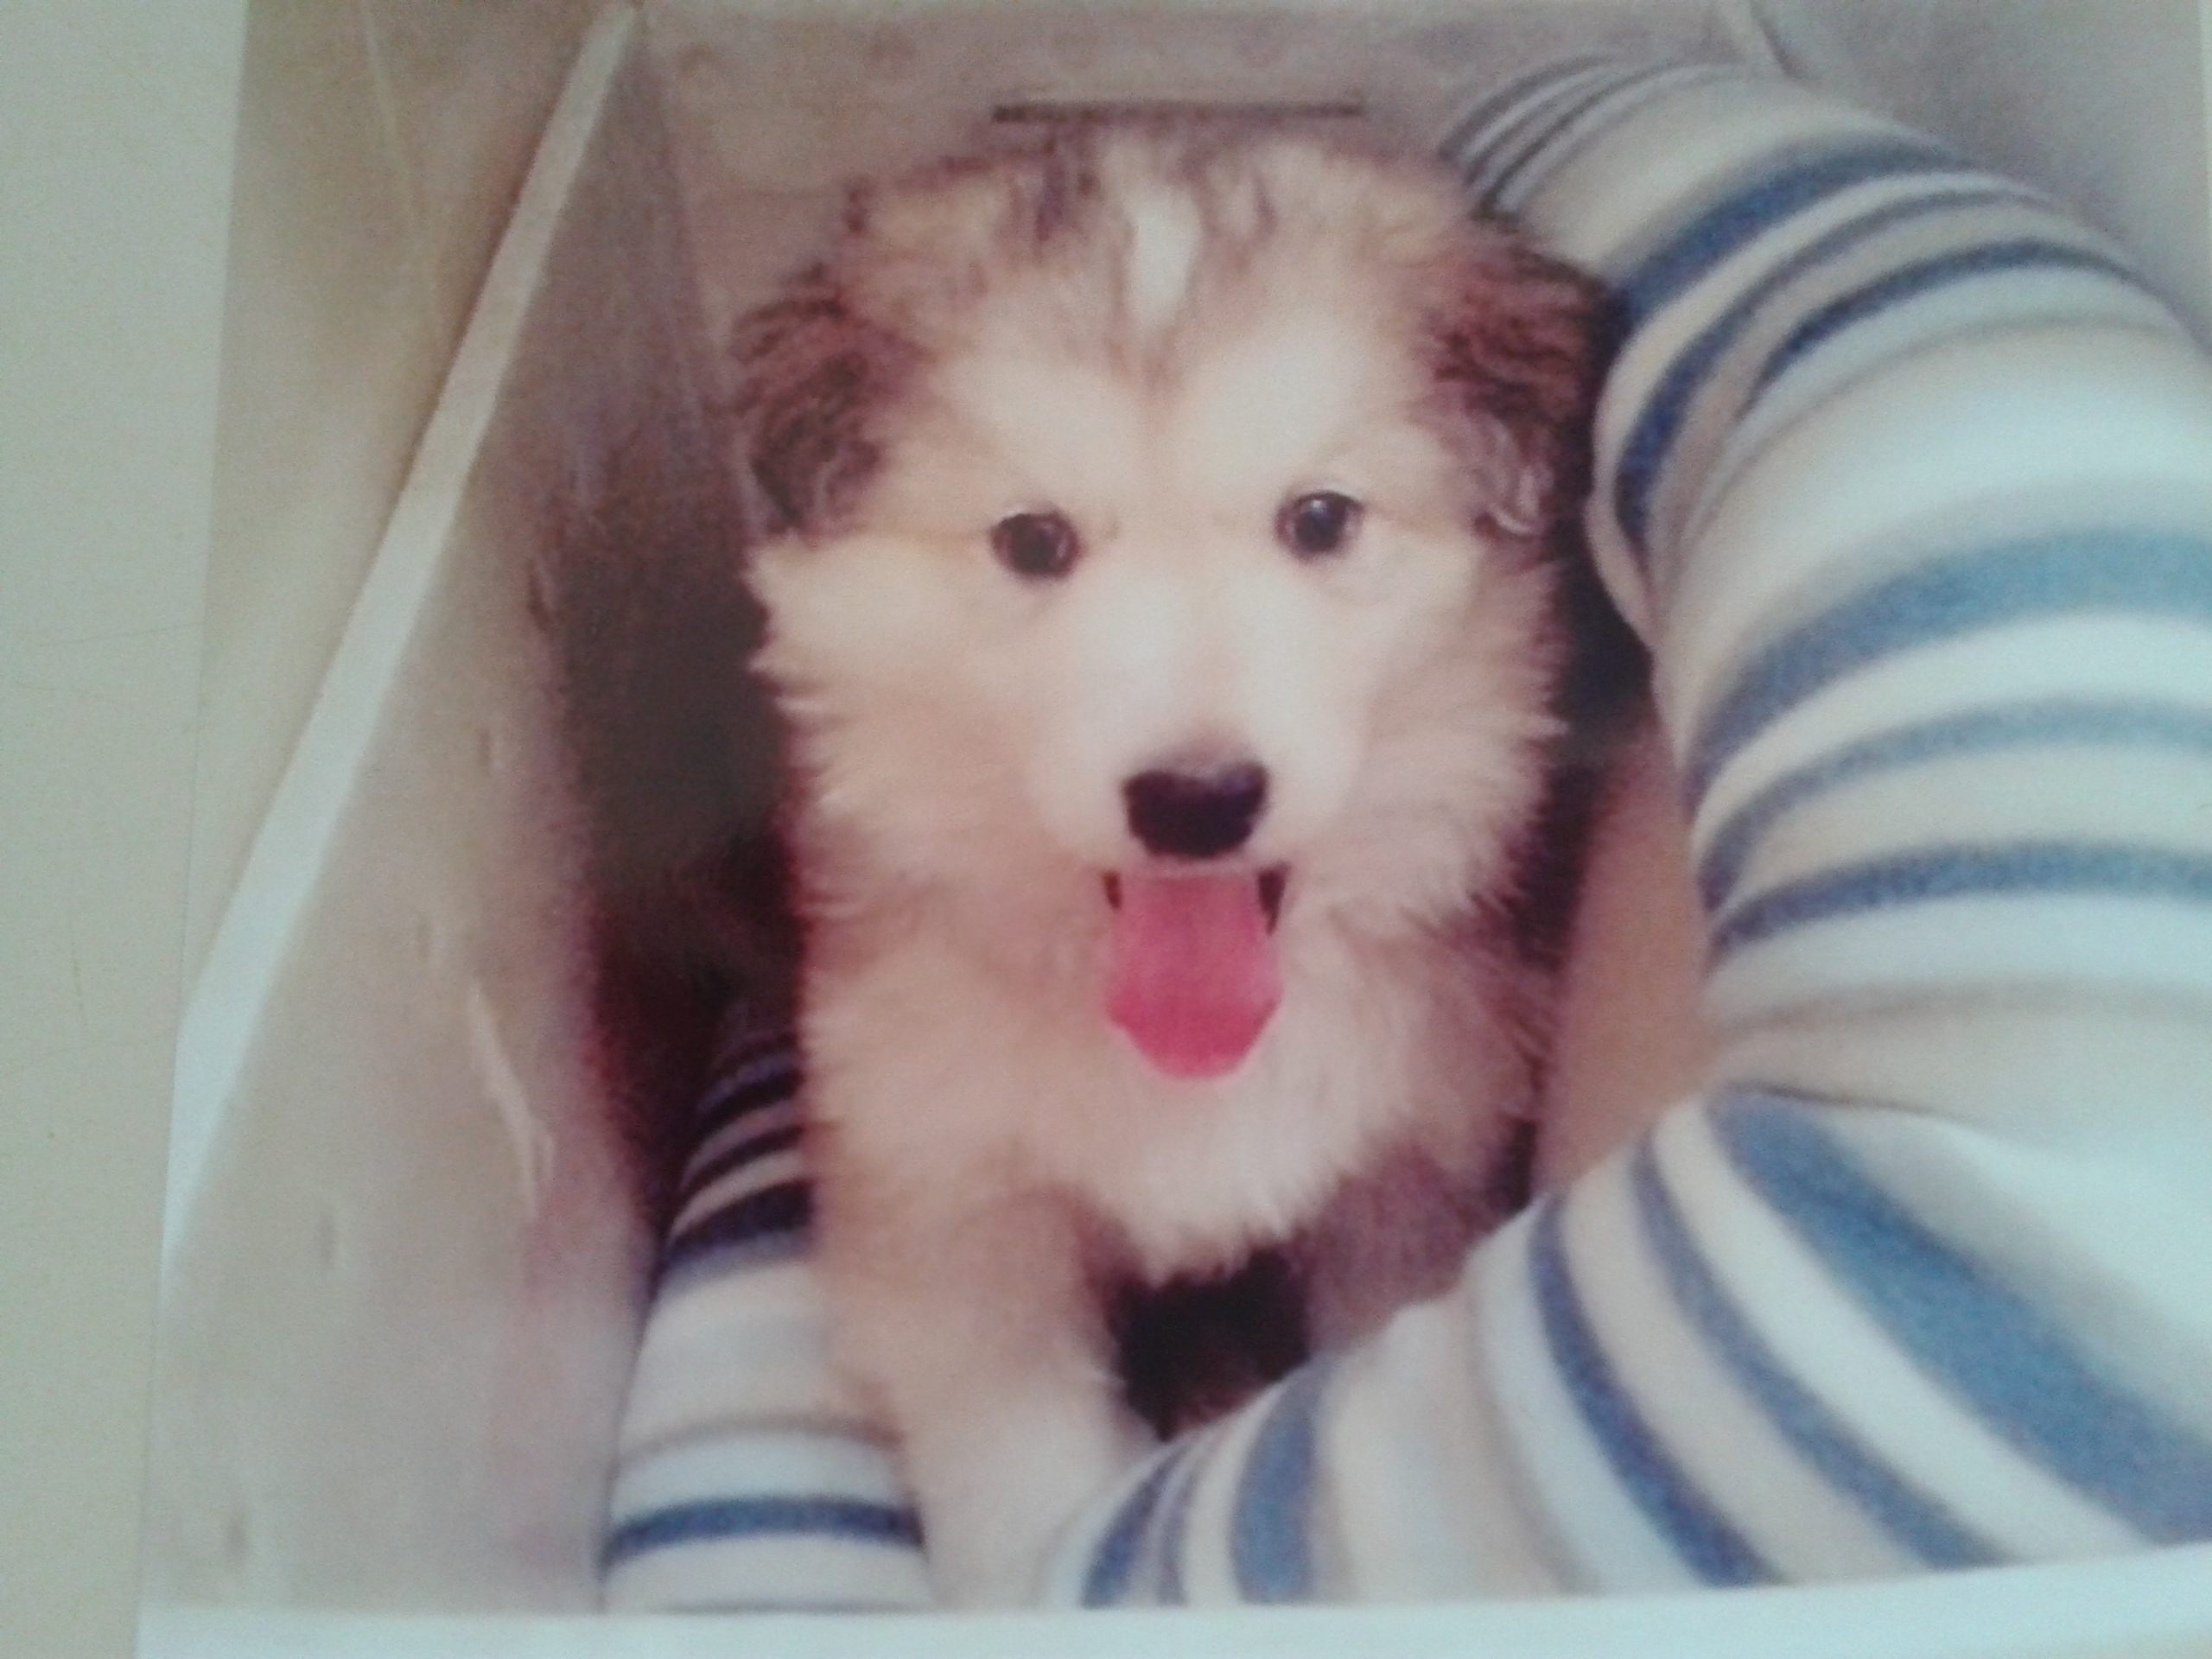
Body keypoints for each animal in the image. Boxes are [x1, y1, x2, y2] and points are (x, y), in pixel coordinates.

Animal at [731, 122, 1607, 1605]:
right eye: (1034, 541)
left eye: (1321, 519)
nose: (1198, 801)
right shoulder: (960, 1229)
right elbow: (1020, 1483)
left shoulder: (1409, 1185)